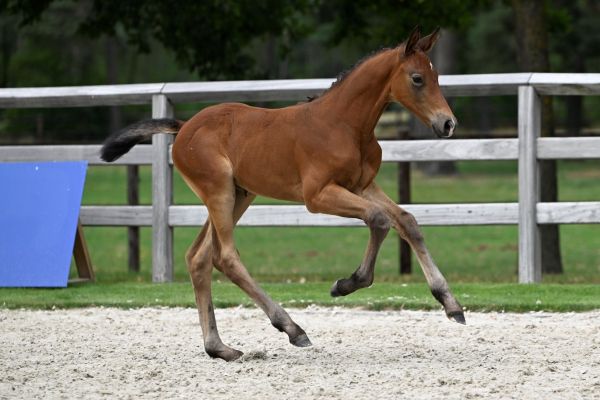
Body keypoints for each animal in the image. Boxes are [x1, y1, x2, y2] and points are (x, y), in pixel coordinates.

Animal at [102, 26, 464, 360]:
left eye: (436, 76)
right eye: (417, 78)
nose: (448, 124)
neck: (344, 125)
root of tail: (184, 126)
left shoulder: (362, 185)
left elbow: (407, 221)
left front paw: (451, 303)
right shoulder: (317, 196)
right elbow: (378, 220)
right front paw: (346, 284)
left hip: (240, 194)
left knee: (199, 257)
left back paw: (220, 348)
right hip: (219, 192)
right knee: (225, 256)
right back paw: (292, 328)